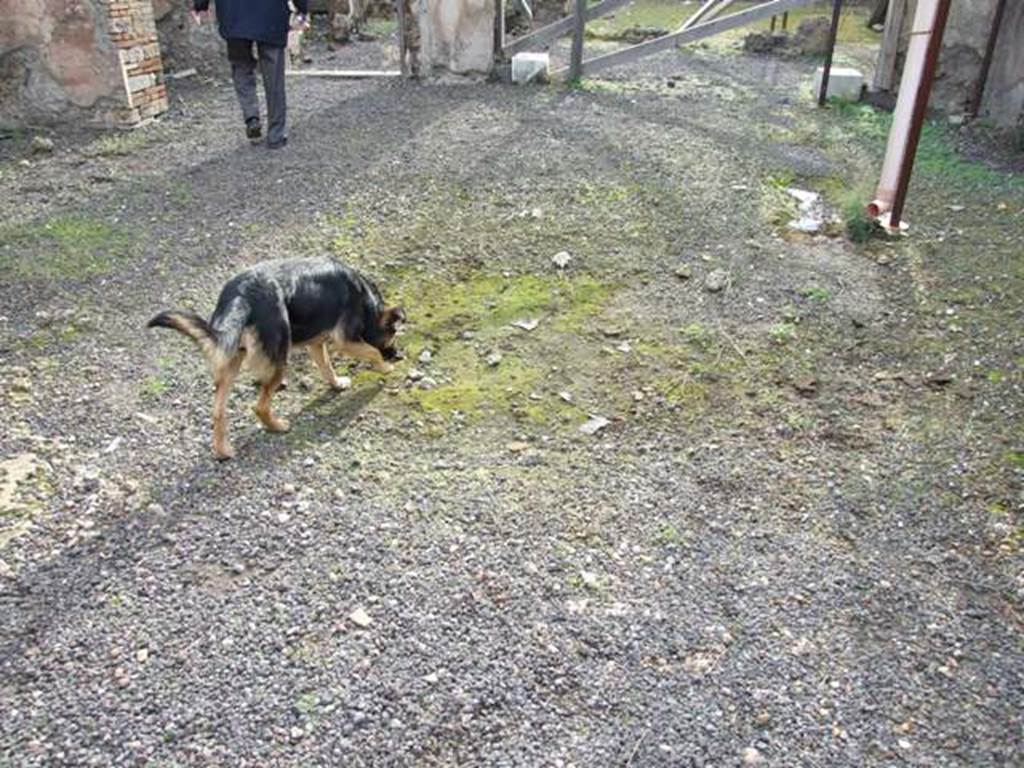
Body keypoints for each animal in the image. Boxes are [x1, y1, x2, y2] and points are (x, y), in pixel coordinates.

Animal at [148, 259, 403, 462]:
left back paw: (222, 451)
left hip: (232, 359)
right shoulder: (345, 340)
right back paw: (278, 426)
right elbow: (372, 351)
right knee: (260, 406)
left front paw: (336, 383)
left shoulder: (316, 343)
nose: (399, 355)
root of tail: (241, 295)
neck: (365, 297)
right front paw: (385, 367)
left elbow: (326, 366)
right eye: (392, 335)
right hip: (280, 357)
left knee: (218, 411)